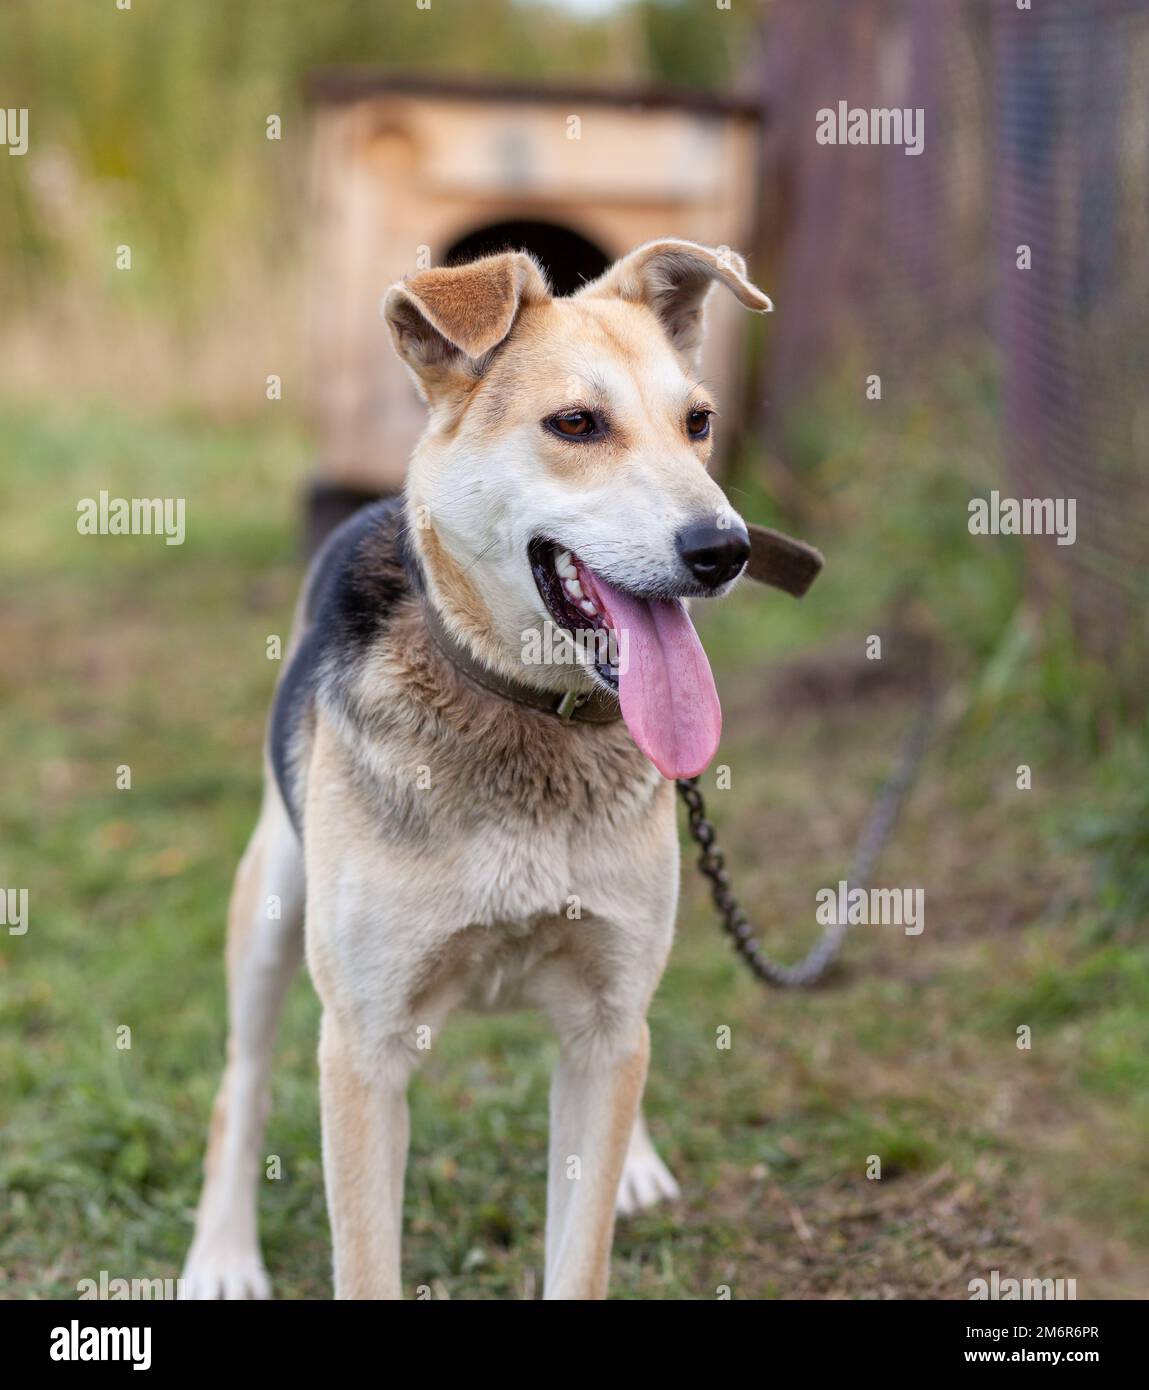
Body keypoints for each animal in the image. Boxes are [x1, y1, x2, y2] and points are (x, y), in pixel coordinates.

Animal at [184, 241, 778, 1301]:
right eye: (575, 424)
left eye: (698, 424)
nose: (724, 550)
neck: (524, 713)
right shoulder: (365, 1051)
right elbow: (364, 1262)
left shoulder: (604, 1023)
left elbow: (580, 1253)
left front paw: (621, 1172)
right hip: (271, 906)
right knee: (239, 1083)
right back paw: (220, 1253)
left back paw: (637, 1160)